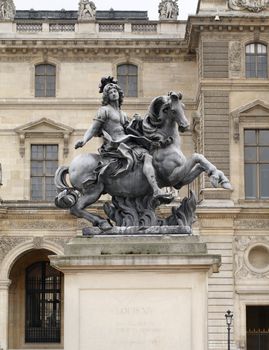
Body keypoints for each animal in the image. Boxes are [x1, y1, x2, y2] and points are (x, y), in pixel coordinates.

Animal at [54, 92, 230, 230]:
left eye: (184, 106)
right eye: (173, 110)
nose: (185, 126)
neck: (165, 143)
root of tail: (70, 166)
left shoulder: (179, 181)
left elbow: (200, 160)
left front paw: (220, 178)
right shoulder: (173, 176)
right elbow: (196, 157)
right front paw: (220, 178)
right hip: (93, 190)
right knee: (76, 209)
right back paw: (102, 223)